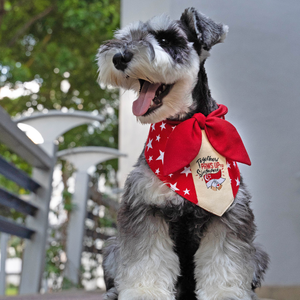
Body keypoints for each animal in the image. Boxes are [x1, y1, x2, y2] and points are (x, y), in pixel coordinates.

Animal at [96, 7, 270, 300]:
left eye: (166, 39)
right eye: (125, 37)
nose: (119, 57)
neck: (183, 127)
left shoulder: (229, 212)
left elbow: (224, 257)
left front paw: (224, 292)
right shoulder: (145, 206)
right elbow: (146, 257)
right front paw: (145, 291)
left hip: (258, 254)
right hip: (112, 248)